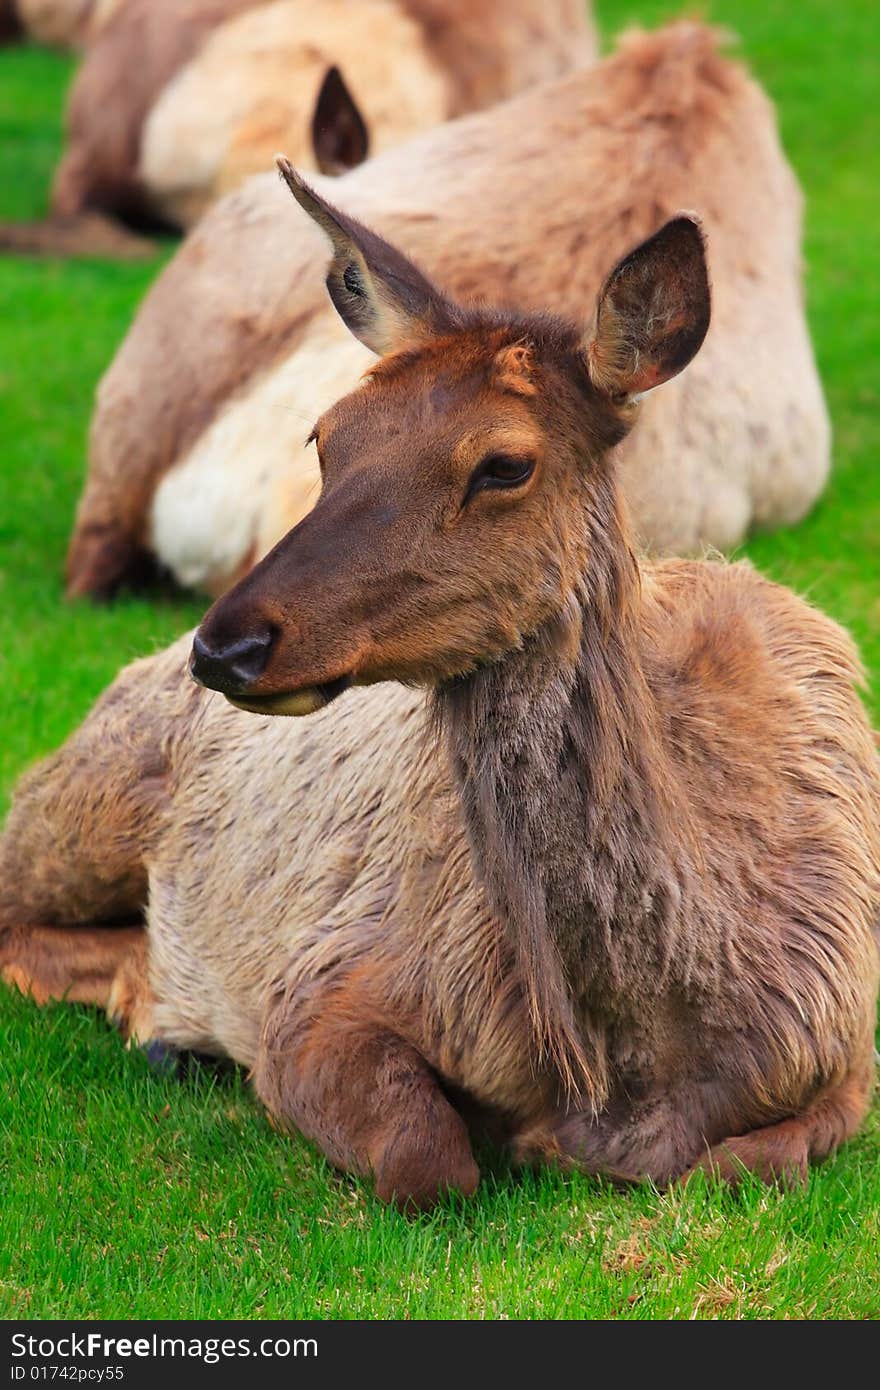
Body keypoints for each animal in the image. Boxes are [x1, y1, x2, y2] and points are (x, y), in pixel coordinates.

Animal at [3, 168, 873, 1212]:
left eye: (504, 464)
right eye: (326, 435)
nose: (227, 646)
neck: (628, 1063)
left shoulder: (844, 1045)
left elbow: (745, 1164)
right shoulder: (330, 980)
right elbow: (430, 1165)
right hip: (83, 795)